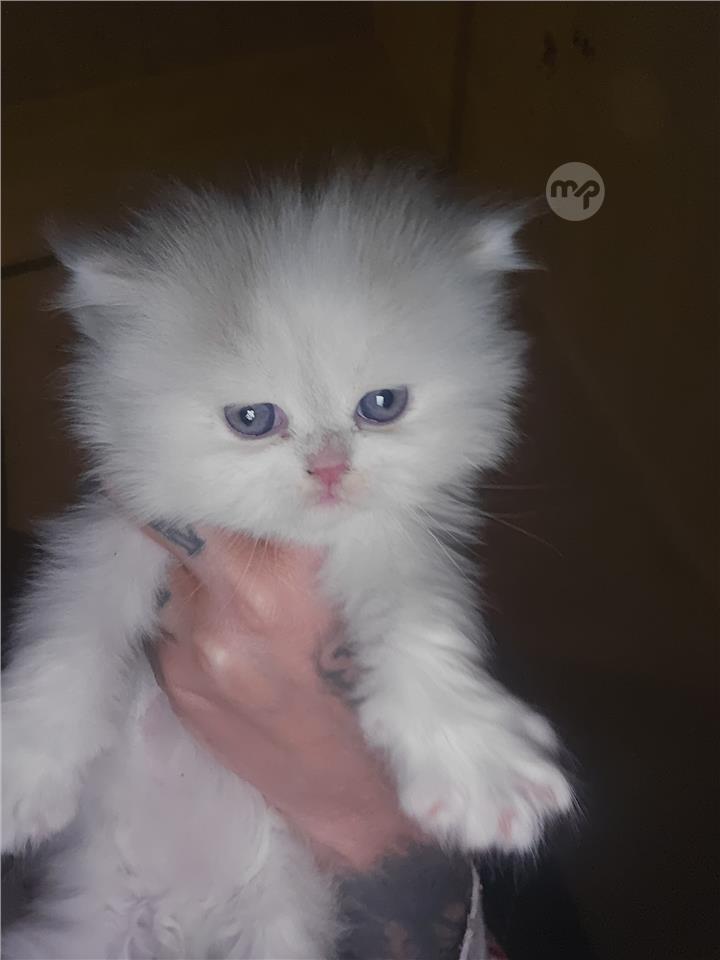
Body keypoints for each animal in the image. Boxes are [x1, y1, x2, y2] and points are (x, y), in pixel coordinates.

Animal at [2, 166, 573, 958]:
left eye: (382, 405)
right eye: (252, 420)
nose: (329, 470)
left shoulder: (394, 543)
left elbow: (421, 626)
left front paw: (472, 758)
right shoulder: (120, 531)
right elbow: (70, 635)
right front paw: (26, 762)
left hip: (282, 929)